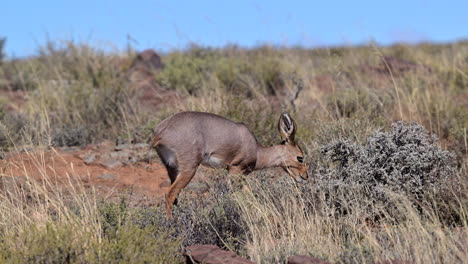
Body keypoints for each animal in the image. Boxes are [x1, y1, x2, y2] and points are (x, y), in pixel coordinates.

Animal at [152, 111, 308, 219]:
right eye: (300, 157)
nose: (304, 177)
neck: (257, 151)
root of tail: (161, 132)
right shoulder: (235, 170)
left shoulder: (239, 174)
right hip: (189, 169)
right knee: (169, 194)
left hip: (172, 168)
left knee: (174, 196)